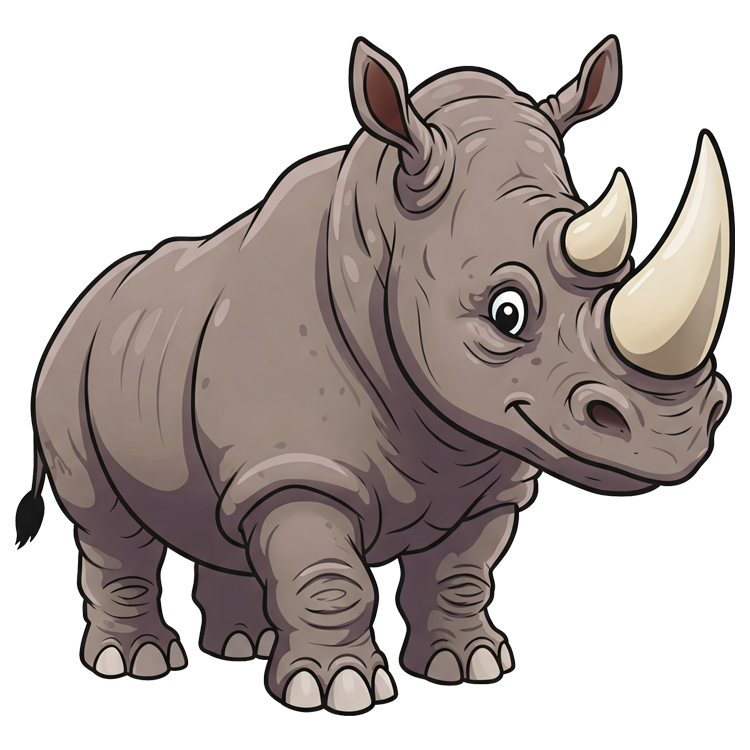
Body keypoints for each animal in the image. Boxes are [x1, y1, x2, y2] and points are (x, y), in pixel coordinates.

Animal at [16, 35, 732, 713]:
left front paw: (469, 665)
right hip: (69, 360)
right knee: (107, 524)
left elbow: (460, 572)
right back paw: (135, 663)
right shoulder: (298, 469)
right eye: (507, 312)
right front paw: (338, 690)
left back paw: (245, 645)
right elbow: (329, 579)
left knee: (222, 519)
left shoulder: (490, 474)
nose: (678, 434)